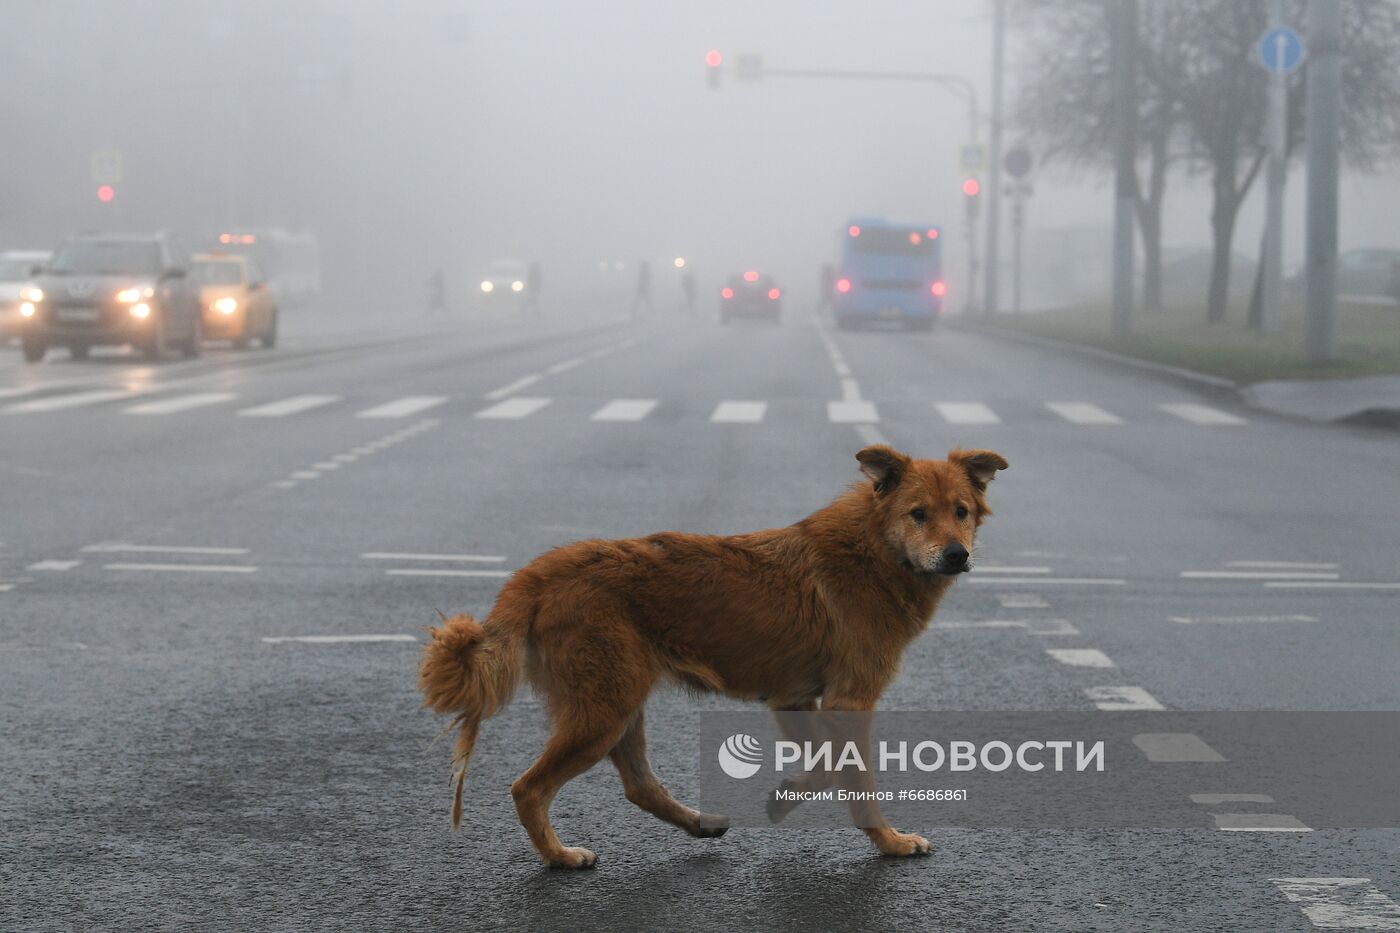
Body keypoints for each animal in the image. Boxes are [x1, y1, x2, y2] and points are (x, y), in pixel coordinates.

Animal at [414, 442, 1008, 862]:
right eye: (918, 514)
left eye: (961, 511)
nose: (957, 555)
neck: (874, 550)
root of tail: (540, 573)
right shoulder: (850, 701)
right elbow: (854, 778)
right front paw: (890, 842)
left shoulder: (795, 700)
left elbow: (823, 765)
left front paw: (787, 796)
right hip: (603, 711)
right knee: (529, 789)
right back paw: (559, 857)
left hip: (618, 707)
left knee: (638, 786)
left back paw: (697, 823)